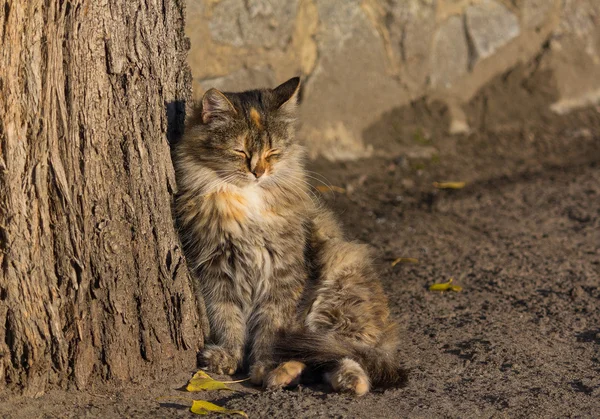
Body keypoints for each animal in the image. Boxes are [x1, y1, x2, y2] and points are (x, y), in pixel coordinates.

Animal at [173, 77, 408, 396]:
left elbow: (269, 331)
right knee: (324, 361)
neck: (247, 201)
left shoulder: (282, 274)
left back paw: (325, 378)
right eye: (240, 152)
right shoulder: (216, 271)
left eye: (272, 153)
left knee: (346, 355)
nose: (258, 172)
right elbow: (227, 320)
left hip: (334, 293)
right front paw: (228, 357)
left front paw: (262, 367)